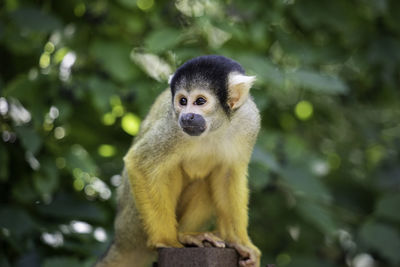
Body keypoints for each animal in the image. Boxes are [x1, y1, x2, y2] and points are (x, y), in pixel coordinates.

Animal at [95, 55, 260, 267]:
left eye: (200, 101)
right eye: (182, 101)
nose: (187, 116)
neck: (216, 126)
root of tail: (119, 239)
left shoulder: (249, 122)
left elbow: (227, 177)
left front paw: (241, 243)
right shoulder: (174, 125)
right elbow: (140, 162)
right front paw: (167, 240)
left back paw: (190, 233)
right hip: (133, 223)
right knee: (167, 170)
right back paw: (181, 236)